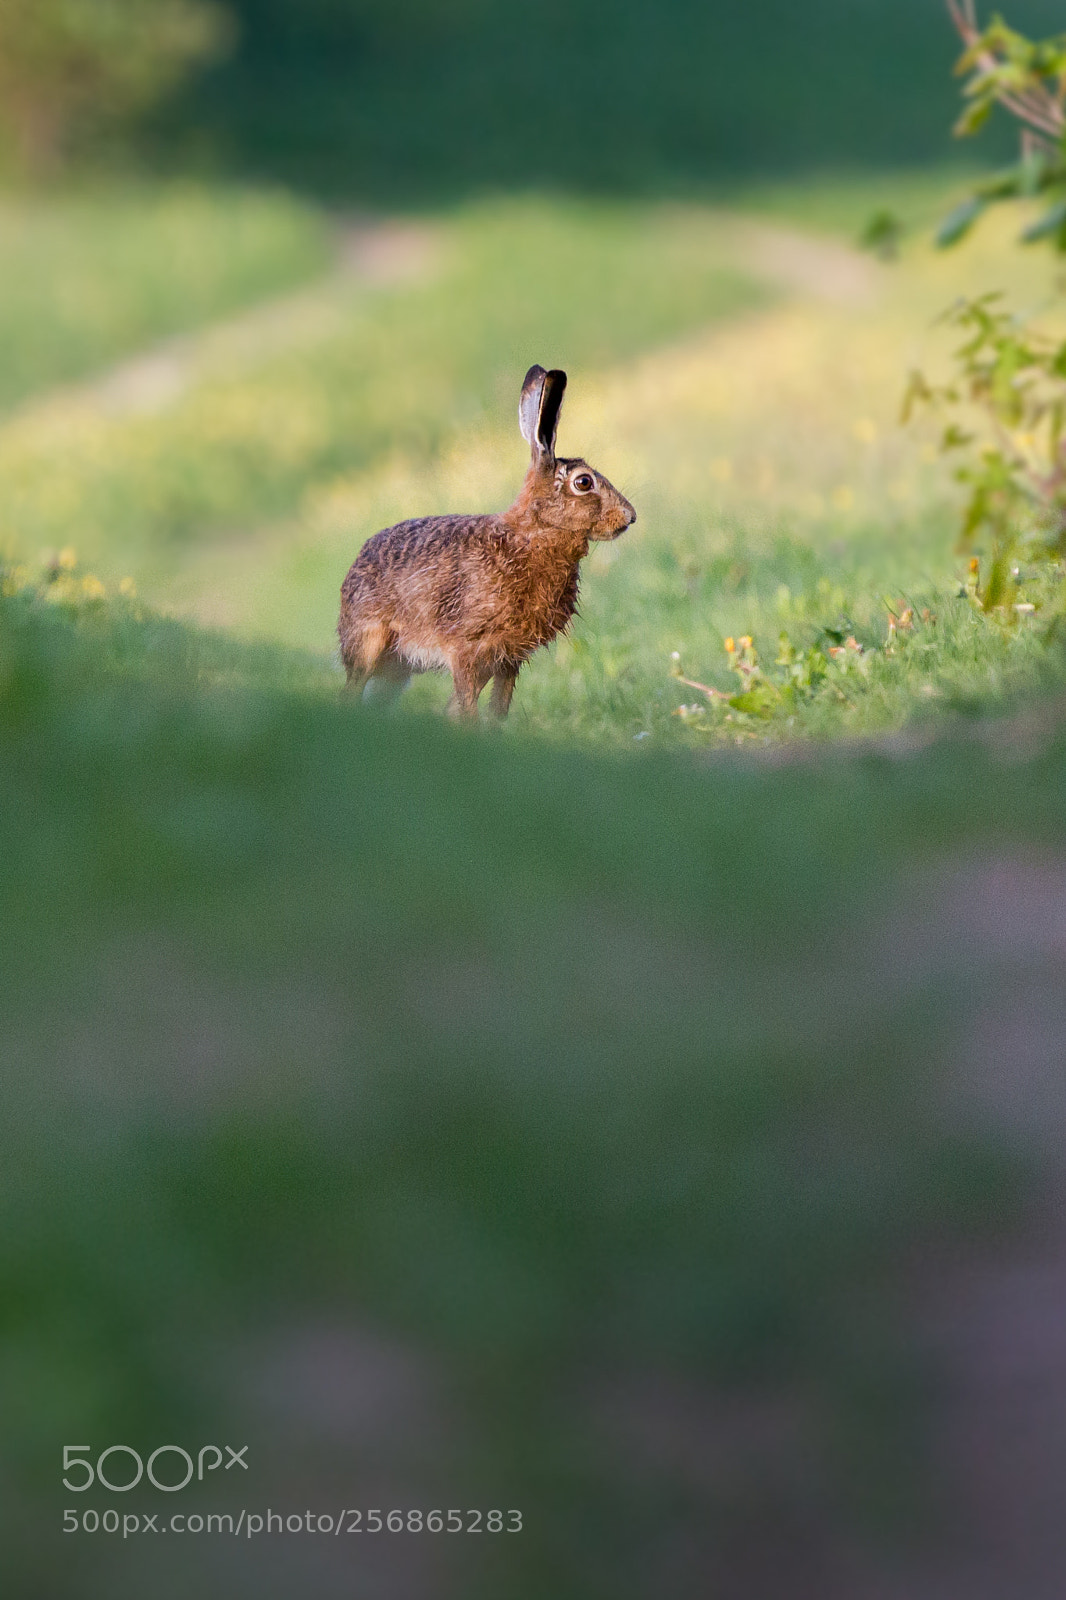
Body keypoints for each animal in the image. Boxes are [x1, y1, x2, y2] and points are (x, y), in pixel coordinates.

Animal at [338, 364, 636, 718]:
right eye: (584, 482)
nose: (630, 517)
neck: (531, 536)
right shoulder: (467, 650)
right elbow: (467, 712)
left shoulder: (509, 658)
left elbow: (495, 713)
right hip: (369, 643)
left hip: (400, 670)